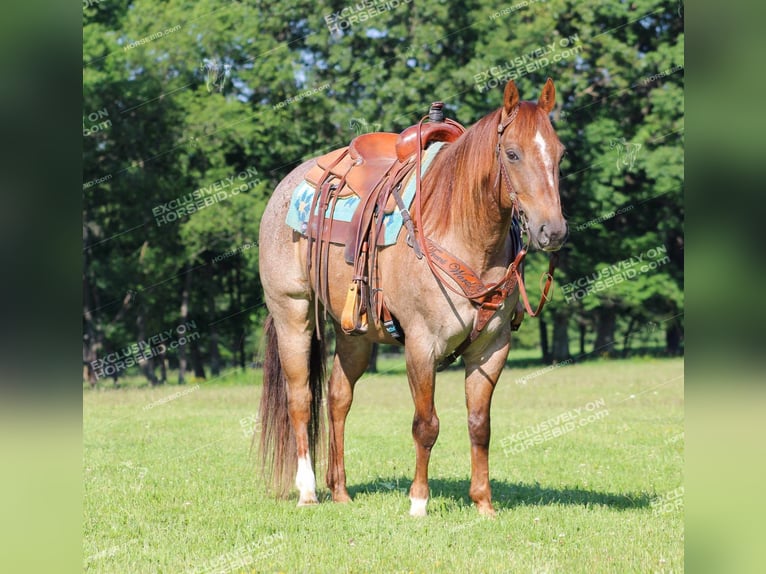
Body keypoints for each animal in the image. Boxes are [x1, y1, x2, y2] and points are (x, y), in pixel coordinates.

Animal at [260, 77, 568, 516]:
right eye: (512, 153)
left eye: (559, 153)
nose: (552, 231)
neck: (461, 233)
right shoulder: (422, 346)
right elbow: (426, 425)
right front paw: (419, 502)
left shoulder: (492, 348)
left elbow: (480, 425)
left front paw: (483, 503)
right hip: (293, 313)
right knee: (301, 400)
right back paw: (308, 491)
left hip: (354, 332)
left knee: (337, 398)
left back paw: (341, 491)